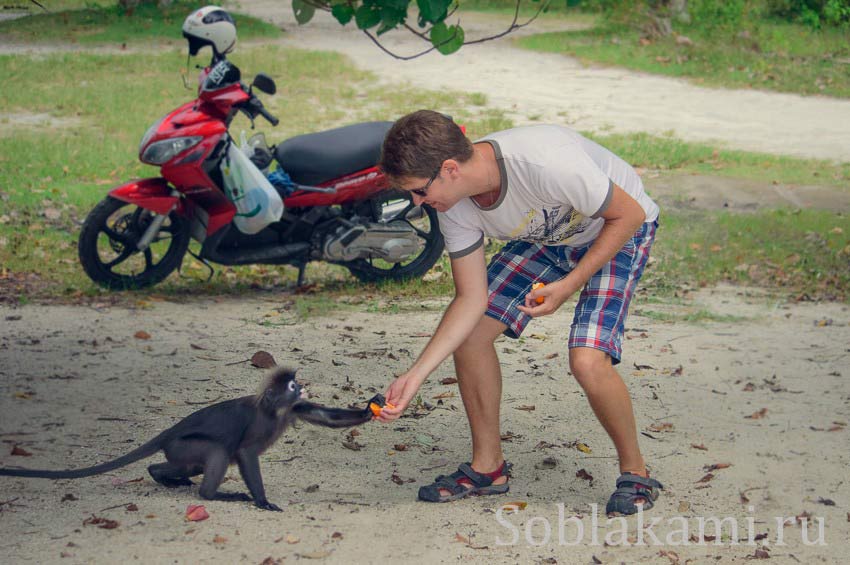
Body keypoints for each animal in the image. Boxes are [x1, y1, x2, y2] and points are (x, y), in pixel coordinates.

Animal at [0, 368, 382, 508]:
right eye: (291, 384)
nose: (301, 385)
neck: (275, 412)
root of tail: (168, 432)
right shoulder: (262, 424)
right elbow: (245, 454)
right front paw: (261, 501)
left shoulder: (294, 409)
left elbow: (325, 417)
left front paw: (368, 410)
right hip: (184, 444)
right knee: (217, 452)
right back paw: (211, 495)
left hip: (179, 451)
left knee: (183, 465)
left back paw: (162, 476)